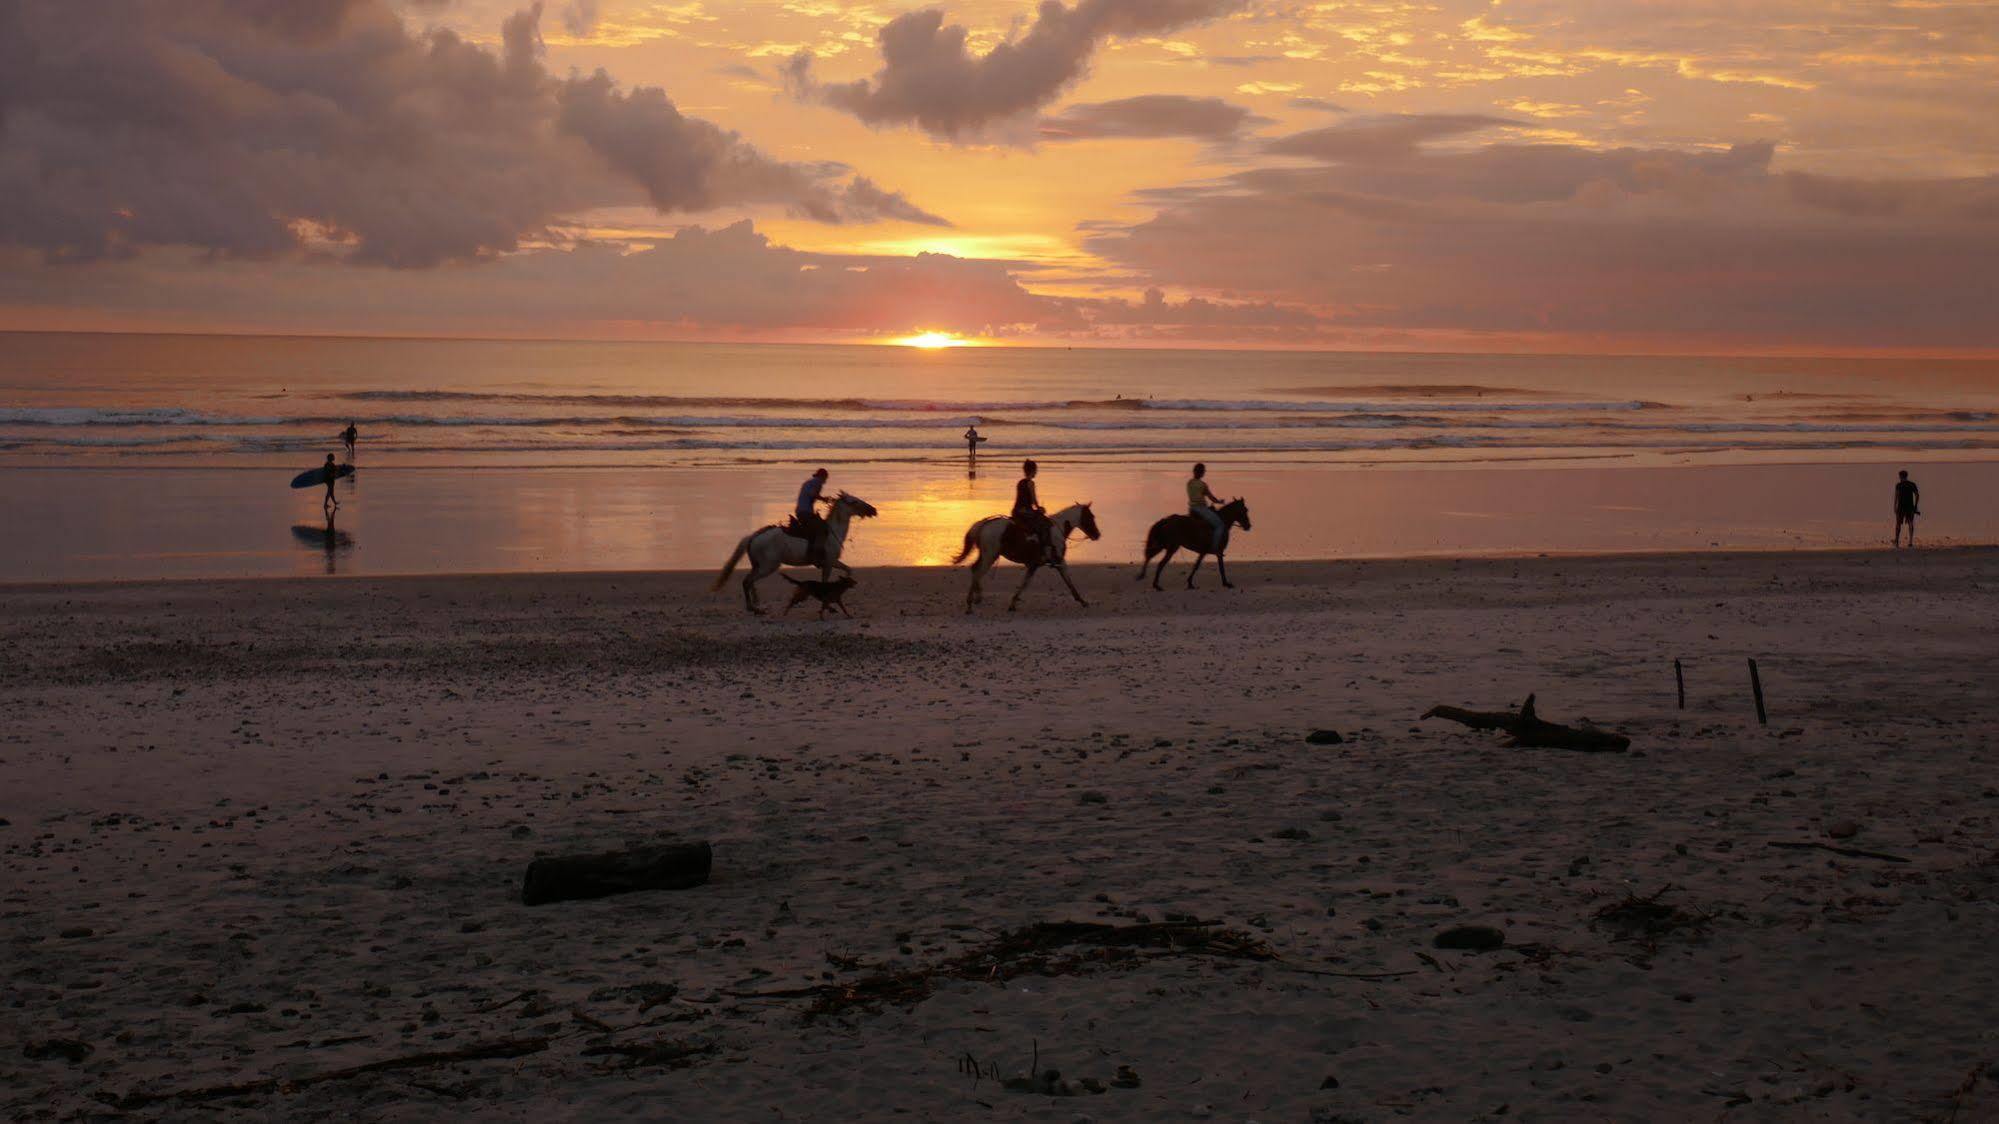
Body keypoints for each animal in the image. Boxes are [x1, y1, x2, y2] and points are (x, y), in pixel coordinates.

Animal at [715, 490, 879, 612]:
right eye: (854, 501)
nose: (873, 510)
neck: (832, 532)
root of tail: (754, 537)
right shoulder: (829, 562)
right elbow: (826, 582)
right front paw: (829, 606)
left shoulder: (832, 562)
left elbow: (848, 570)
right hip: (768, 567)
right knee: (747, 581)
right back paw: (753, 608)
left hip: (759, 566)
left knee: (750, 581)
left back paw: (756, 603)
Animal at [947, 504, 1103, 612]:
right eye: (1091, 517)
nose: (1097, 535)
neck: (1057, 530)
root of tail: (983, 524)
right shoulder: (1058, 561)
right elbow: (1068, 581)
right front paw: (1082, 600)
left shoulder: (1035, 565)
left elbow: (1025, 583)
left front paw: (1013, 603)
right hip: (990, 555)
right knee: (978, 571)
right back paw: (970, 604)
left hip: (988, 555)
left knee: (975, 570)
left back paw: (976, 598)